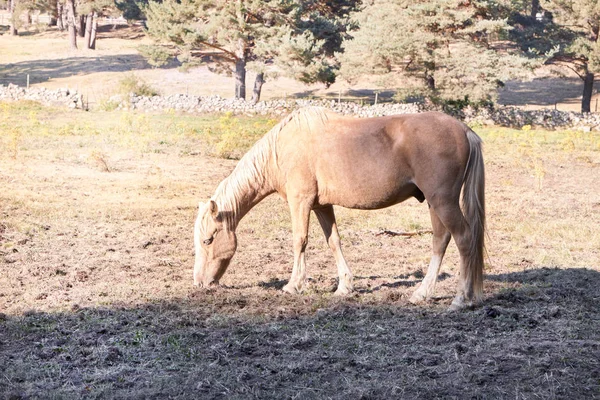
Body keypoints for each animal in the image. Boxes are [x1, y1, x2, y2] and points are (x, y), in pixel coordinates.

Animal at [195, 106, 486, 310]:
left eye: (208, 240)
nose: (199, 283)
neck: (282, 149)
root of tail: (464, 130)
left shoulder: (300, 202)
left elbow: (299, 240)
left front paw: (293, 285)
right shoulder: (322, 206)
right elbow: (334, 241)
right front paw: (344, 286)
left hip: (443, 201)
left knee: (463, 238)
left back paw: (462, 298)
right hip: (434, 203)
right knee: (440, 241)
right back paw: (422, 293)